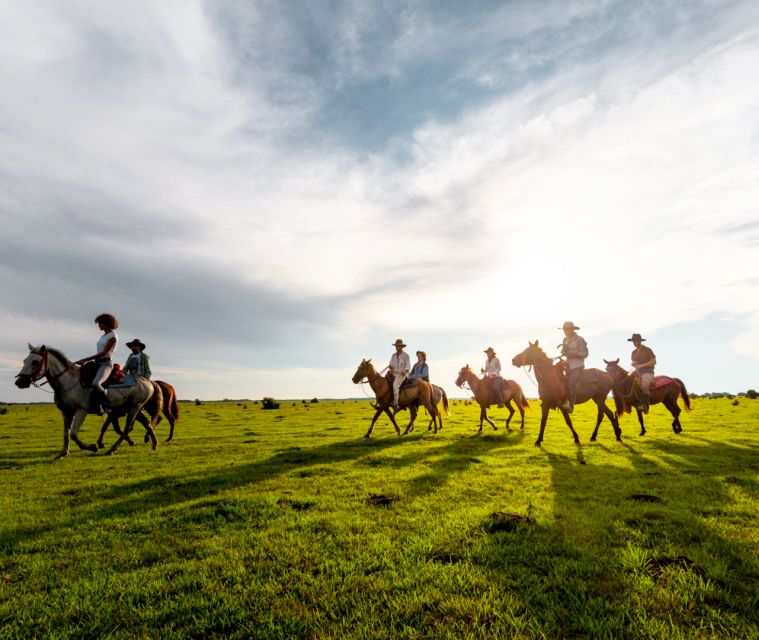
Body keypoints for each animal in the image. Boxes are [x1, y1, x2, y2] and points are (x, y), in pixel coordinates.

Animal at [14, 342, 161, 458]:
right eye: (25, 360)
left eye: (35, 362)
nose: (19, 382)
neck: (68, 382)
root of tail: (147, 381)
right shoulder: (66, 412)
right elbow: (66, 433)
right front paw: (63, 453)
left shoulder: (81, 411)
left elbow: (73, 434)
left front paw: (92, 447)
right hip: (132, 408)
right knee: (146, 423)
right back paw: (153, 443)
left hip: (134, 408)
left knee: (128, 427)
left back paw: (112, 449)